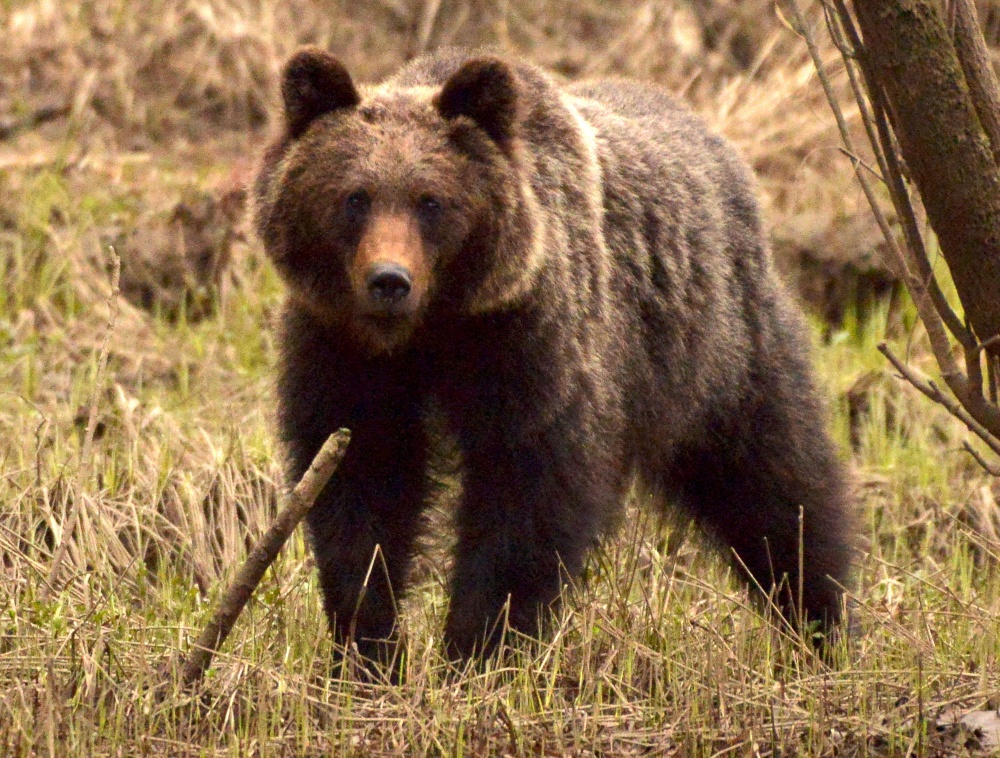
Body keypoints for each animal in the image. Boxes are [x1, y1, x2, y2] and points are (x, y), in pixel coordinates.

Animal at [252, 46, 852, 672]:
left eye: (430, 201)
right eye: (355, 197)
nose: (389, 281)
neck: (433, 329)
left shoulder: (530, 347)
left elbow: (526, 502)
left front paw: (476, 651)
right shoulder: (345, 351)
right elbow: (359, 485)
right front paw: (367, 648)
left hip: (719, 351)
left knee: (777, 485)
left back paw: (821, 623)